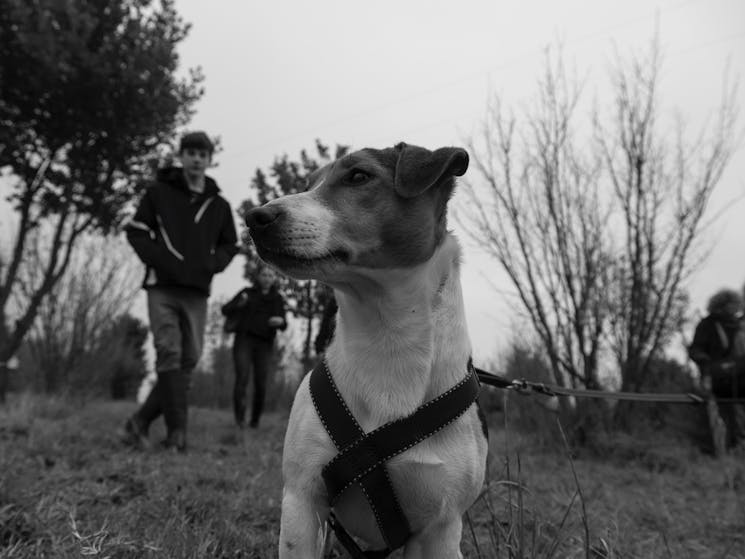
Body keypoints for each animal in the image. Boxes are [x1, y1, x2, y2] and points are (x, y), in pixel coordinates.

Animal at [246, 144, 488, 559]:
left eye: (358, 176)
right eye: (310, 183)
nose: (255, 217)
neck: (388, 338)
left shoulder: (439, 529)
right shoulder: (302, 498)